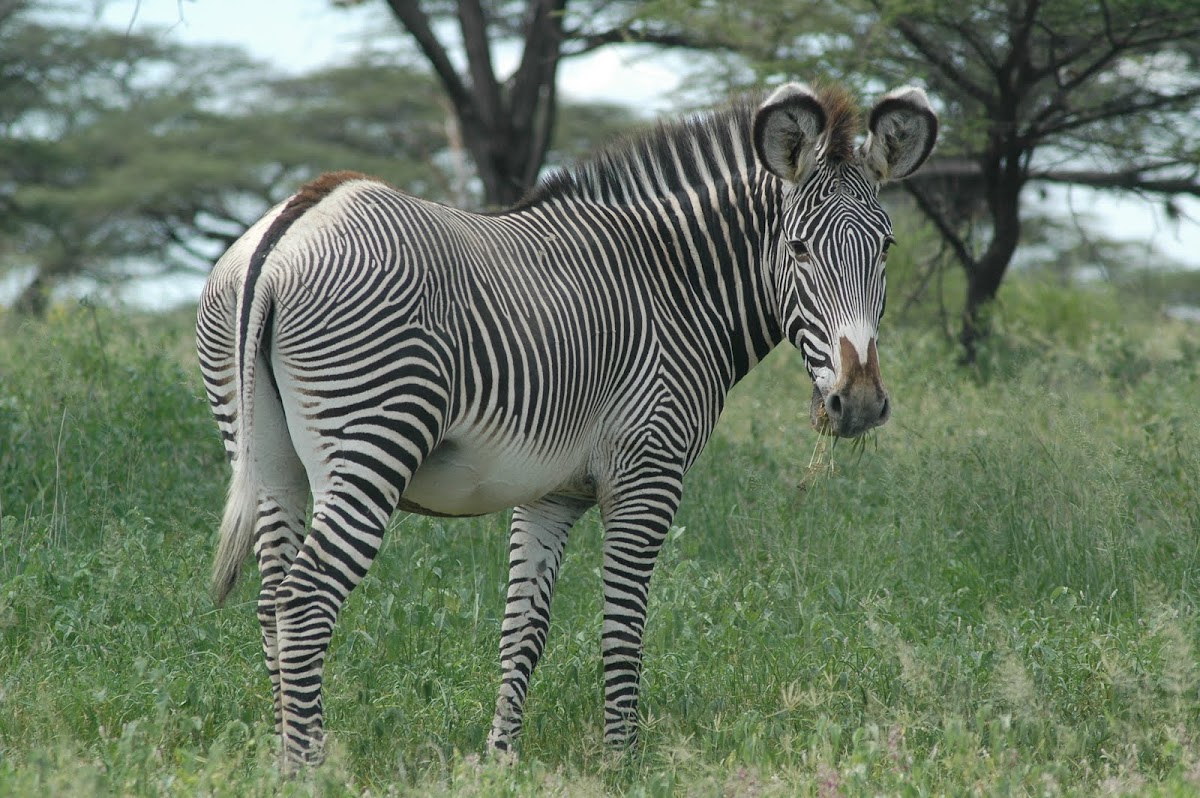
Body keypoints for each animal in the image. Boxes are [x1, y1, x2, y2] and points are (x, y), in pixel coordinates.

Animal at [198, 81, 937, 769]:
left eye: (886, 248)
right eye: (800, 249)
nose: (859, 403)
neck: (676, 285)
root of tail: (292, 224)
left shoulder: (548, 490)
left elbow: (523, 628)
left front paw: (500, 758)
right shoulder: (648, 473)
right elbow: (623, 624)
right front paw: (622, 760)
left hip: (269, 462)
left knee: (271, 602)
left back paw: (281, 755)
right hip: (371, 443)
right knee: (304, 603)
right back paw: (308, 766)